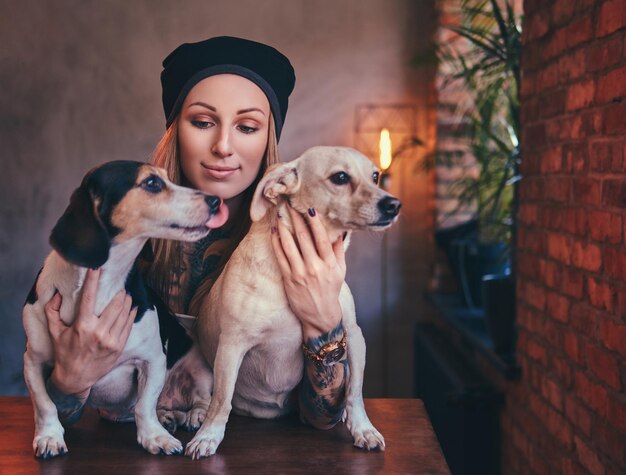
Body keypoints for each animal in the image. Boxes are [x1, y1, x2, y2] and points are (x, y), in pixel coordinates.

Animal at [22, 162, 227, 460]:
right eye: (152, 183)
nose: (216, 200)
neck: (101, 289)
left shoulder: (152, 360)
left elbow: (145, 405)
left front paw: (155, 437)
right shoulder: (33, 361)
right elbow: (44, 403)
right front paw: (49, 437)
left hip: (200, 365)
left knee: (200, 399)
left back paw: (193, 416)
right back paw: (167, 416)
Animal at [184, 147, 400, 460]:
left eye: (375, 176)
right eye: (340, 177)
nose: (394, 204)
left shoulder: (354, 338)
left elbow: (355, 393)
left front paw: (363, 429)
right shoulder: (231, 346)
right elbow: (221, 400)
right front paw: (208, 436)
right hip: (202, 361)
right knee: (207, 398)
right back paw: (196, 415)